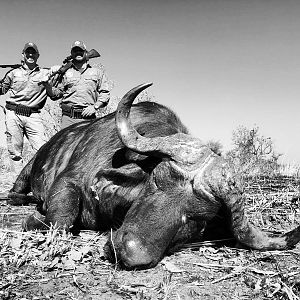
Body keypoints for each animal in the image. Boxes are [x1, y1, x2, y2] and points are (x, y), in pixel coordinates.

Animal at [8, 82, 300, 270]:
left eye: (197, 220)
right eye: (157, 182)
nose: (128, 251)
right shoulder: (69, 181)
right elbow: (62, 220)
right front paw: (34, 219)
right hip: (27, 168)